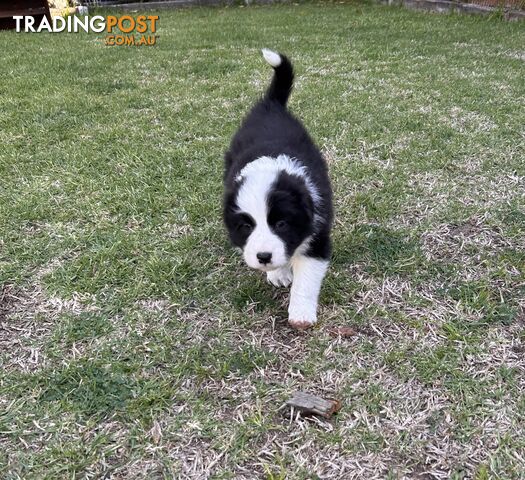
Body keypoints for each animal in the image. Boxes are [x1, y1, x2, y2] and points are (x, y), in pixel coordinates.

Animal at [223, 49, 334, 330]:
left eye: (282, 224)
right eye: (246, 226)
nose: (263, 257)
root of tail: (271, 104)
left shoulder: (318, 231)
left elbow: (306, 279)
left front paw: (301, 315)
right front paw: (277, 272)